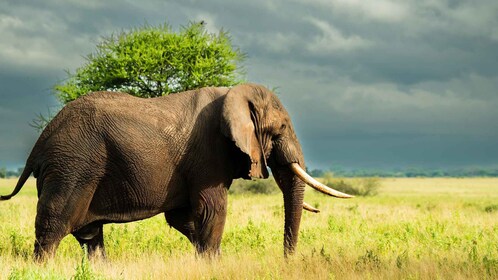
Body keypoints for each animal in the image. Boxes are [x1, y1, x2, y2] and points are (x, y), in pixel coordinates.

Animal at [0, 83, 352, 260]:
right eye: (280, 129)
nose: (287, 262)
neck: (235, 92)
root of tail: (39, 143)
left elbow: (185, 218)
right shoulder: (209, 153)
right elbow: (212, 209)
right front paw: (212, 265)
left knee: (89, 235)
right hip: (72, 165)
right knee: (54, 227)